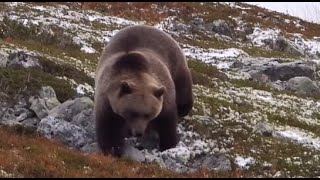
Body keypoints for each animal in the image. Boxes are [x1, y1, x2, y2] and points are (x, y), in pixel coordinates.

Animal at [92, 24, 192, 158]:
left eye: (148, 114)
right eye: (132, 112)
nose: (139, 132)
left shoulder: (164, 96)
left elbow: (167, 124)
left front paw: (168, 144)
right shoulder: (107, 101)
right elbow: (109, 129)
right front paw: (112, 149)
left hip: (176, 66)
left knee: (183, 92)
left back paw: (183, 109)